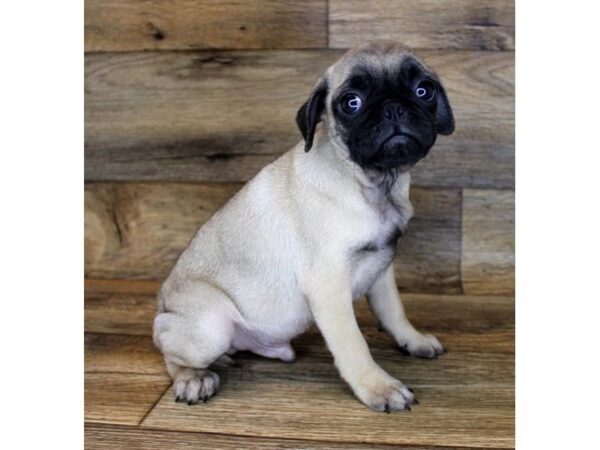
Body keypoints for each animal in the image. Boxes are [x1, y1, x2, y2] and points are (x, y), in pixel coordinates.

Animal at [154, 40, 454, 414]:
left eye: (423, 91)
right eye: (351, 102)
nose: (394, 109)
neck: (372, 183)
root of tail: (162, 306)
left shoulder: (383, 270)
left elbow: (393, 311)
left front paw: (412, 340)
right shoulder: (328, 285)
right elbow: (353, 343)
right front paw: (379, 387)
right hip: (210, 325)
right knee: (170, 353)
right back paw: (194, 377)